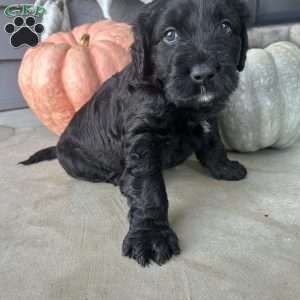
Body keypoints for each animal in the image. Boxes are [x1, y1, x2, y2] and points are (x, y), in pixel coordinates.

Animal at [21, 0, 248, 268]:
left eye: (226, 27)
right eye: (170, 35)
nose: (203, 73)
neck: (176, 102)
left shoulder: (206, 117)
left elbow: (213, 144)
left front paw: (225, 168)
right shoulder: (142, 138)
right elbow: (149, 188)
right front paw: (150, 235)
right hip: (73, 159)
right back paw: (120, 181)